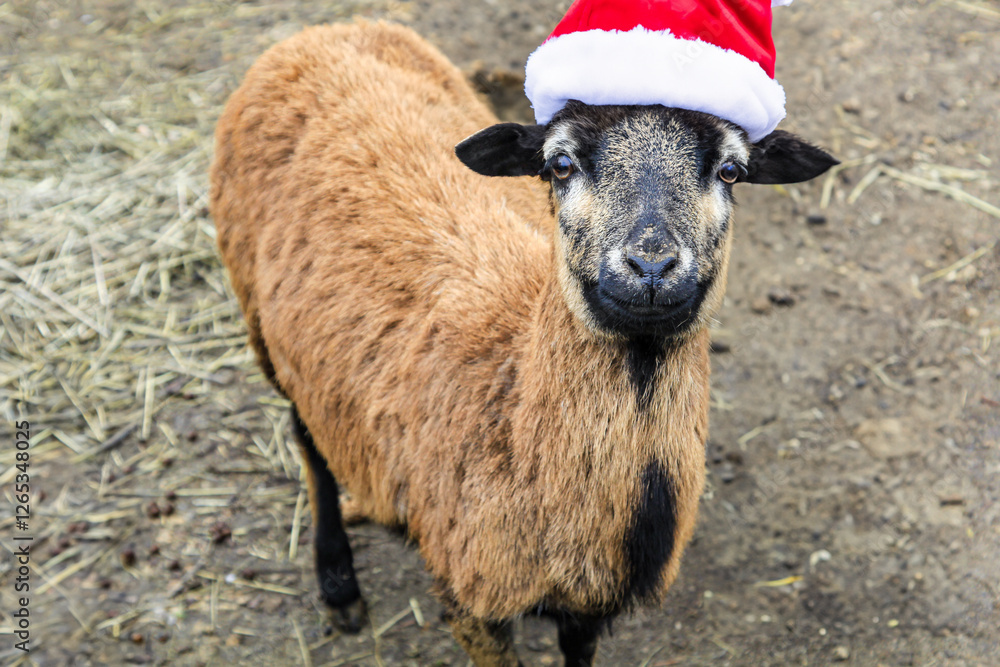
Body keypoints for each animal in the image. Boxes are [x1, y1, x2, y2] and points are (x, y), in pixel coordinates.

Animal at [210, 20, 836, 667]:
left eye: (730, 171)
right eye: (559, 164)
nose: (651, 266)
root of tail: (326, 30)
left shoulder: (588, 608)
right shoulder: (470, 600)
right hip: (259, 319)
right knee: (308, 442)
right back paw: (337, 584)